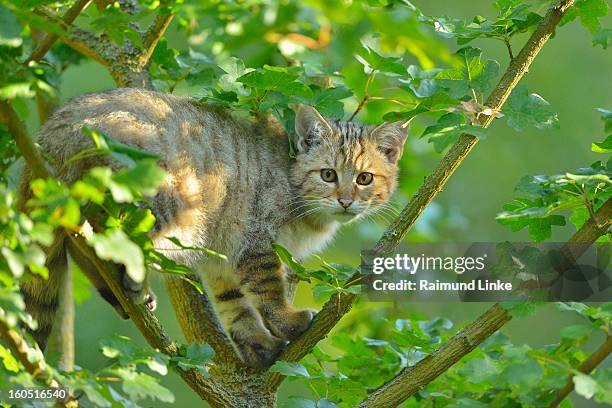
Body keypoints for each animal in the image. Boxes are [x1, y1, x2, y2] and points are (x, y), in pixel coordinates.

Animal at [19, 88, 408, 366]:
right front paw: (288, 322)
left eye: (364, 178)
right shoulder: (256, 242)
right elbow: (267, 292)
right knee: (104, 234)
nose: (346, 200)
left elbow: (233, 303)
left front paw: (257, 345)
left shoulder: (221, 255)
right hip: (163, 198)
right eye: (328, 174)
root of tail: (51, 132)